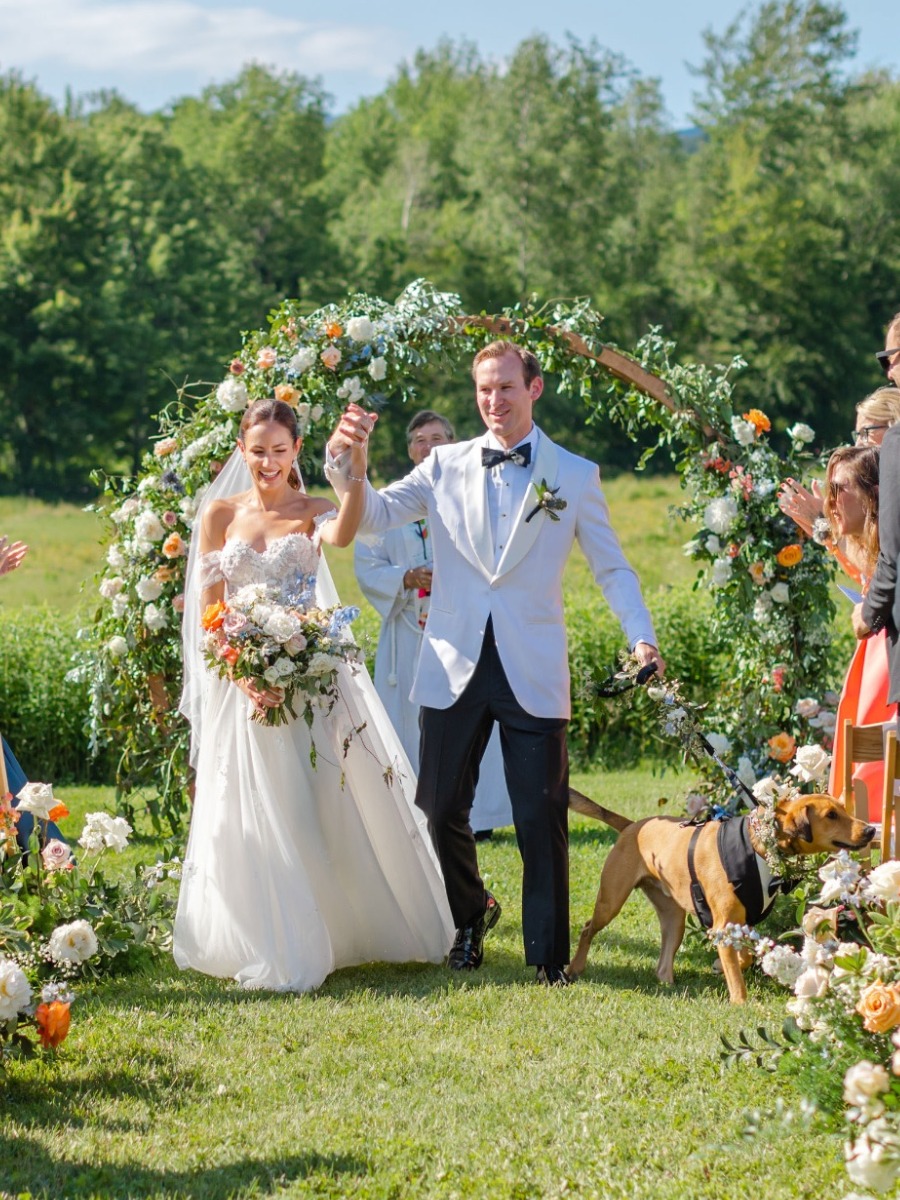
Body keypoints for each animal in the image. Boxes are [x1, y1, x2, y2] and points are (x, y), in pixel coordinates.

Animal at [571, 787, 873, 1003]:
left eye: (843, 809)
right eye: (831, 815)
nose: (870, 830)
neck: (759, 844)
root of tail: (633, 826)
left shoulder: (742, 922)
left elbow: (746, 957)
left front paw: (723, 965)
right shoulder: (723, 924)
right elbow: (737, 976)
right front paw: (741, 1002)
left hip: (673, 918)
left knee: (665, 953)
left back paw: (667, 981)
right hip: (611, 901)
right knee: (587, 928)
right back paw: (576, 967)